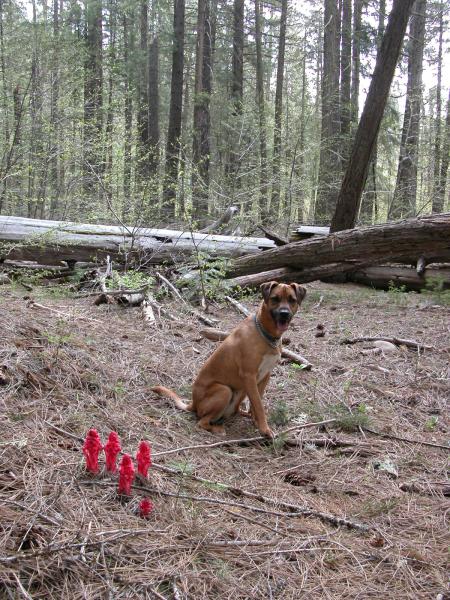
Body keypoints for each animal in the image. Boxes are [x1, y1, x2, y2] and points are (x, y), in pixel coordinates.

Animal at [152, 282, 306, 436]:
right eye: (275, 298)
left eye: (292, 300)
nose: (284, 314)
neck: (266, 334)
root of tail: (193, 404)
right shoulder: (249, 376)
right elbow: (259, 405)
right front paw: (264, 429)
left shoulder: (265, 376)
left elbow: (257, 403)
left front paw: (257, 422)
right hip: (224, 390)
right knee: (202, 422)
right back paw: (218, 429)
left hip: (242, 390)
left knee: (232, 411)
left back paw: (242, 413)